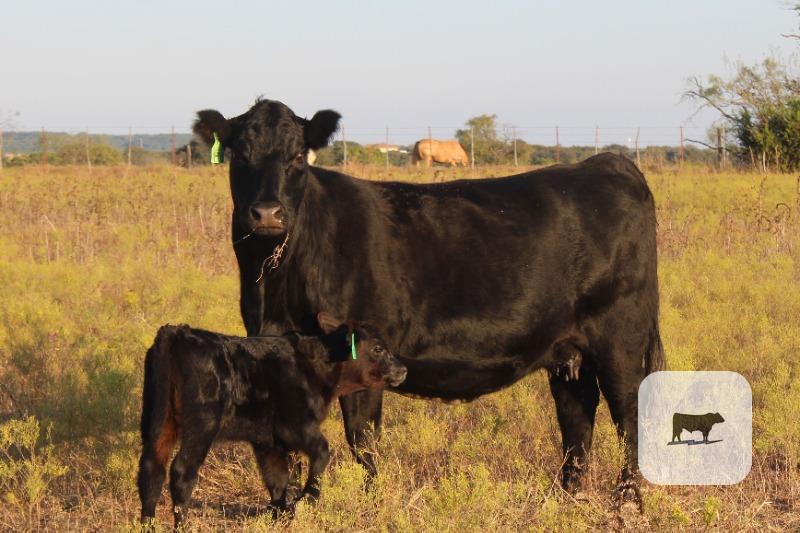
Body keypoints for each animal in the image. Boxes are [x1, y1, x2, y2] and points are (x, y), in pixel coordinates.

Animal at [136, 313, 407, 529]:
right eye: (378, 348)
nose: (402, 369)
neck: (315, 365)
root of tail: (175, 333)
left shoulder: (267, 440)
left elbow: (278, 479)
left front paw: (281, 515)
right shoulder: (296, 425)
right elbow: (322, 452)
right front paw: (306, 500)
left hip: (158, 421)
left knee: (151, 470)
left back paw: (147, 525)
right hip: (202, 424)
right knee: (182, 471)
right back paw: (182, 526)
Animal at [191, 98, 665, 508]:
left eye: (296, 157)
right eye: (240, 155)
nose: (267, 213)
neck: (277, 277)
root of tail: (608, 163)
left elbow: (362, 438)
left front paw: (370, 502)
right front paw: (288, 505)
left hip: (619, 339)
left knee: (628, 415)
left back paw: (626, 500)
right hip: (568, 350)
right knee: (577, 417)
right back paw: (564, 498)